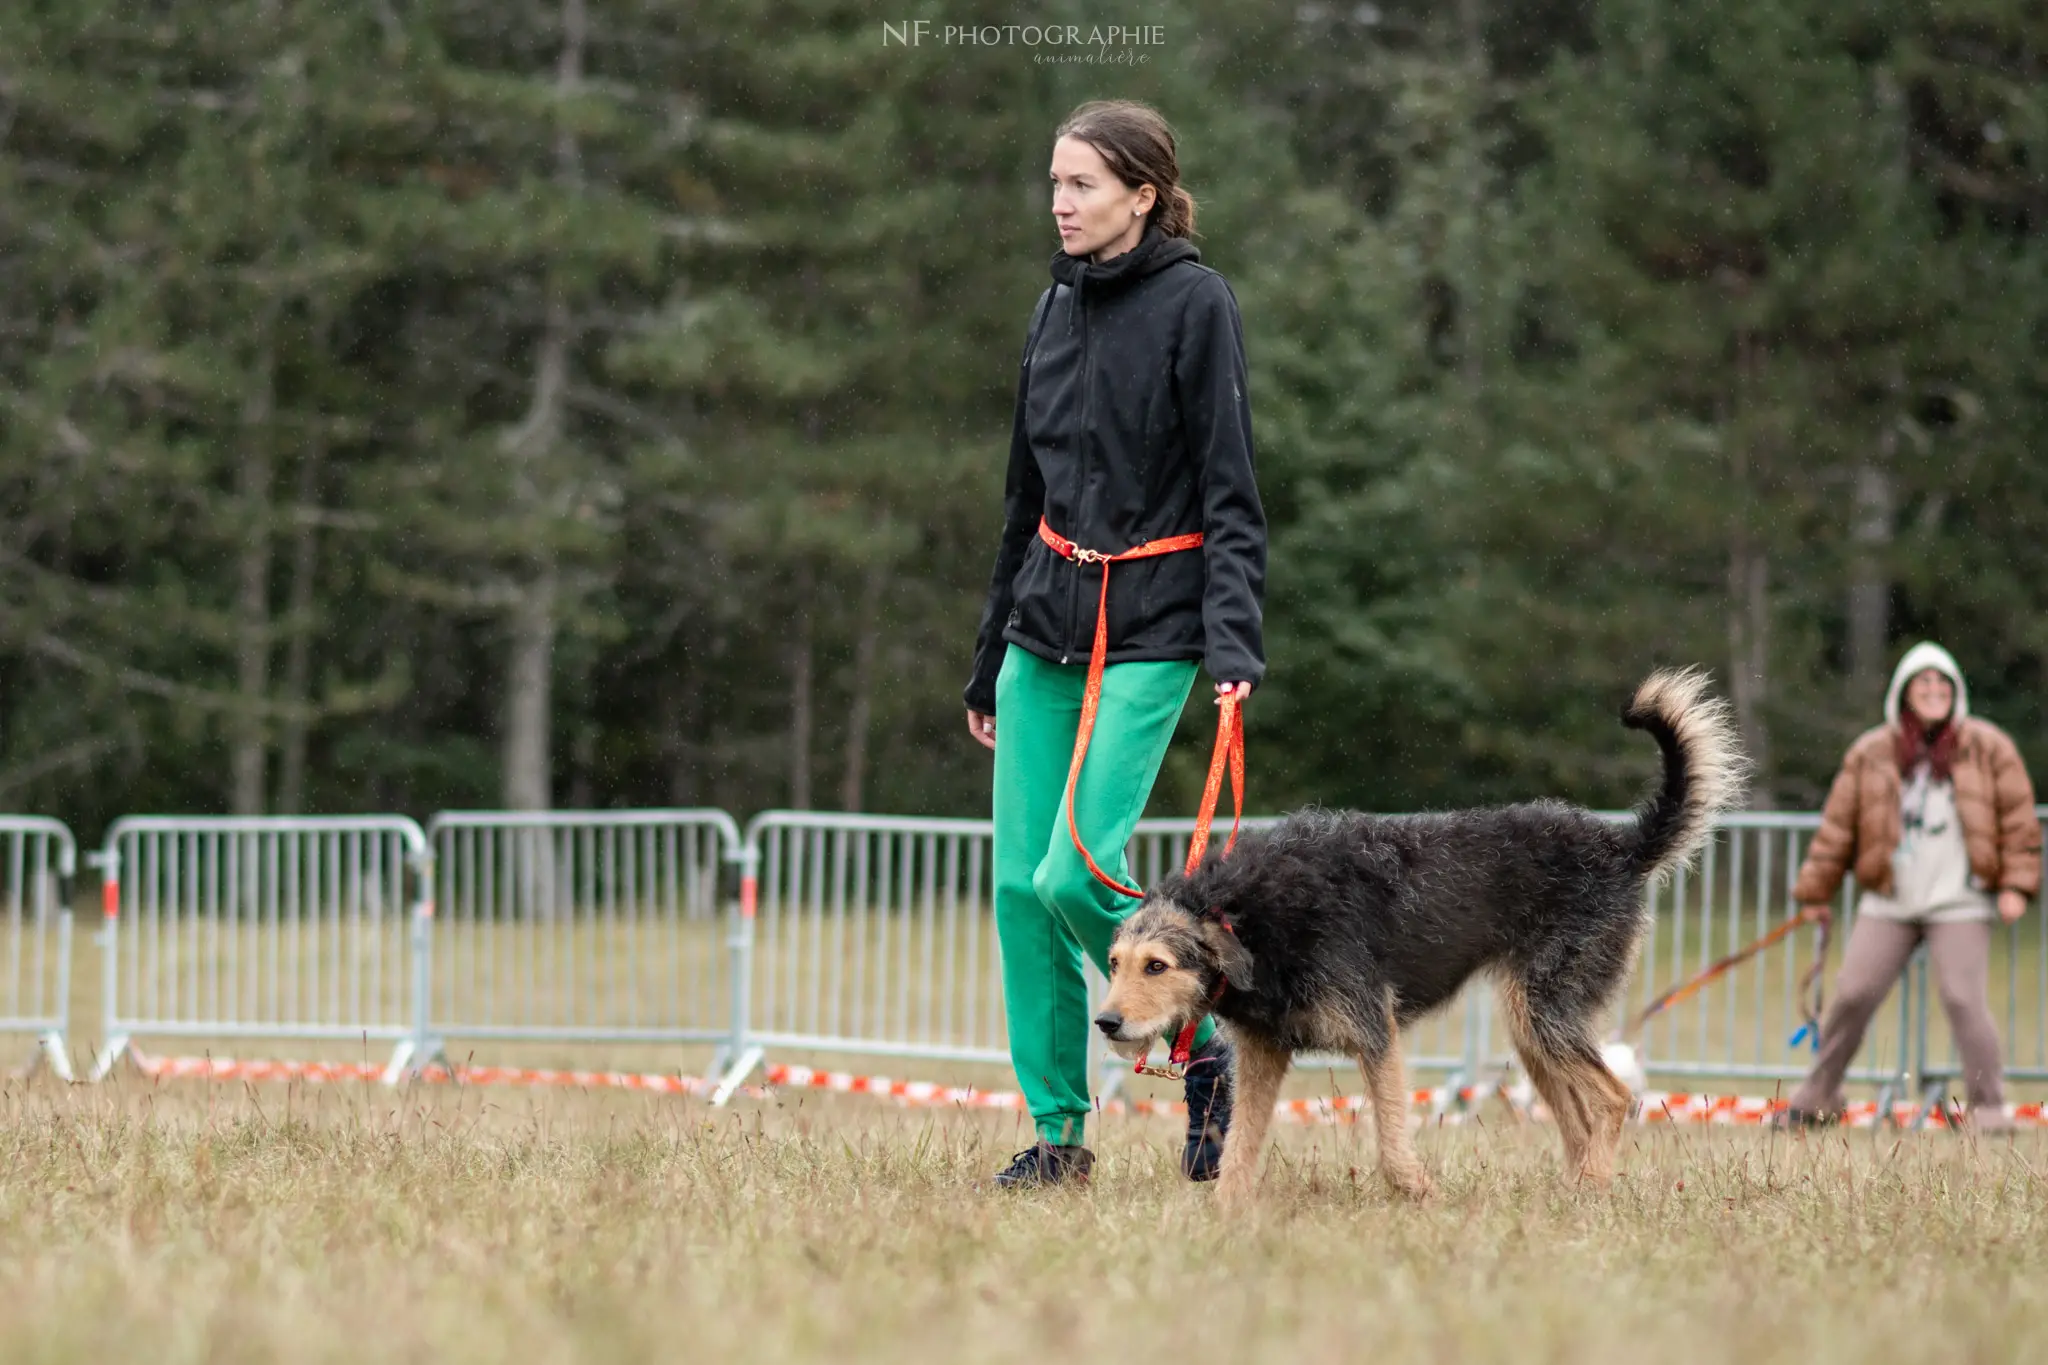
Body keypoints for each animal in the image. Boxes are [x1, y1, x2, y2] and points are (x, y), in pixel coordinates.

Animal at [1105, 667, 1744, 1203]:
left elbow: (1390, 1136)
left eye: (1157, 965)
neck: (1252, 914)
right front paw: (1226, 1214)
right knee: (1579, 1116)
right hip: (1533, 1031)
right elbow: (1239, 1149)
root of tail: (1622, 847)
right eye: (1113, 962)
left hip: (1548, 1013)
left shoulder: (1375, 1034)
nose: (1105, 1023)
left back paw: (1588, 1191)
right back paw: (1575, 1191)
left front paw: (1416, 1191)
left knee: (1613, 1100)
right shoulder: (1264, 1055)